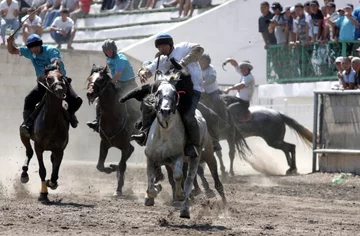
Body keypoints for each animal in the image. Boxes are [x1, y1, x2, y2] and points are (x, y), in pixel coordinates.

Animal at [19, 61, 70, 202]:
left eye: (61, 77)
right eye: (49, 78)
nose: (59, 89)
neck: (51, 121)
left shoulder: (60, 149)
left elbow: (55, 172)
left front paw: (51, 183)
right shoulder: (39, 147)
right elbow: (42, 170)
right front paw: (43, 193)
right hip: (24, 135)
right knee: (29, 152)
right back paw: (24, 174)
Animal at [86, 64, 141, 197]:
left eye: (101, 79)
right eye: (89, 78)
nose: (89, 94)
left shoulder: (124, 146)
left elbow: (122, 165)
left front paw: (118, 190)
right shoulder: (104, 143)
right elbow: (100, 166)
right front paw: (110, 168)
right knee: (131, 150)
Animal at [143, 76, 225, 218]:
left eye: (175, 93)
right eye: (158, 92)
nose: (165, 111)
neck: (165, 133)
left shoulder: (178, 157)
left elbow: (178, 177)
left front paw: (180, 195)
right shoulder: (151, 158)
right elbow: (151, 180)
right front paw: (151, 194)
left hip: (204, 156)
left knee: (196, 181)